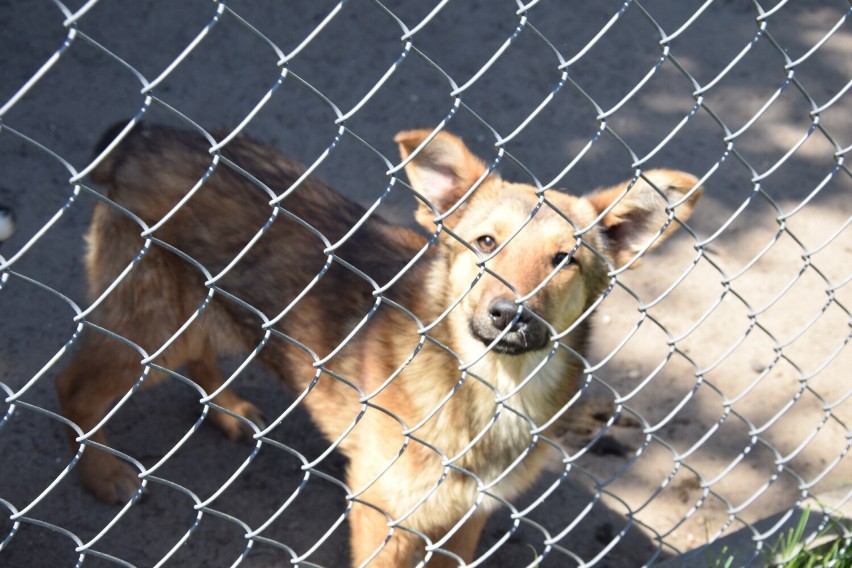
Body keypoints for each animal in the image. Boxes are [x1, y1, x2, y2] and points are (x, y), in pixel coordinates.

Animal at [58, 123, 700, 564]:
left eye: (564, 259)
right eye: (485, 243)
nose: (508, 314)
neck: (489, 389)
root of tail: (145, 134)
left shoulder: (466, 515)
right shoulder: (382, 512)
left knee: (200, 354)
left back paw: (229, 410)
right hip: (152, 328)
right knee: (73, 385)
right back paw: (100, 471)